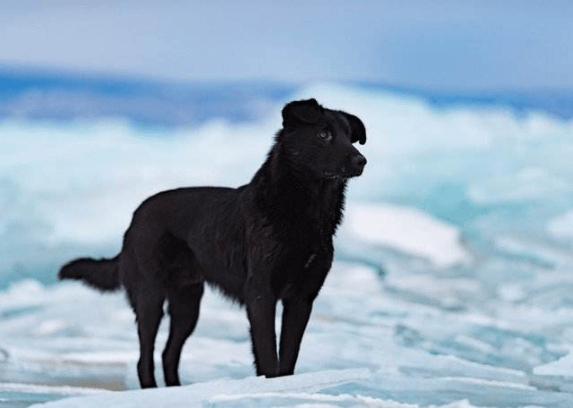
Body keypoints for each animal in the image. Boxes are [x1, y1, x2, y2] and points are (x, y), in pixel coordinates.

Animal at [59, 99, 366, 388]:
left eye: (350, 137)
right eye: (324, 134)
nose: (362, 160)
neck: (305, 212)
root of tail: (135, 218)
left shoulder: (301, 298)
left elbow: (289, 355)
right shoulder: (261, 294)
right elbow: (269, 356)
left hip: (187, 305)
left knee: (168, 354)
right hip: (150, 297)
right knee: (144, 357)